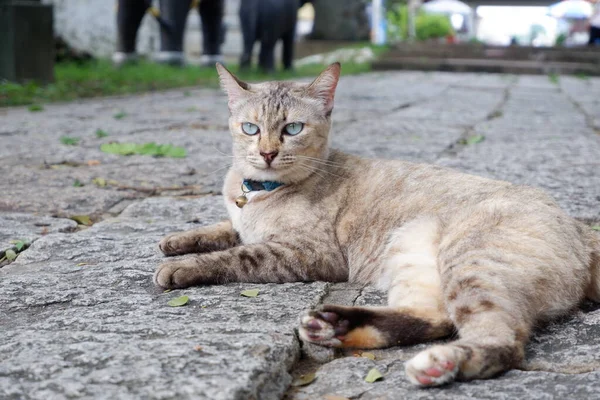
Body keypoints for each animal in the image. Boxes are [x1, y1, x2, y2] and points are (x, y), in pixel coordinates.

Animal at [154, 63, 600, 388]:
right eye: (251, 128)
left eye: (292, 129)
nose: (266, 153)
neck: (256, 190)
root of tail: (580, 227)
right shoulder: (241, 220)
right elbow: (220, 230)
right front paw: (175, 241)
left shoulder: (309, 254)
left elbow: (237, 255)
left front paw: (179, 267)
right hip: (414, 261)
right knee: (434, 317)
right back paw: (334, 325)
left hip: (473, 265)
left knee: (501, 342)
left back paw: (439, 364)